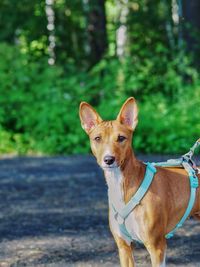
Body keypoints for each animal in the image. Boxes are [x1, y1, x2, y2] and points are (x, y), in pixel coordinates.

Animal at [79, 98, 199, 267]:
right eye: (97, 138)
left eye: (121, 138)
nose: (109, 159)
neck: (122, 186)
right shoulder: (124, 247)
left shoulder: (157, 247)